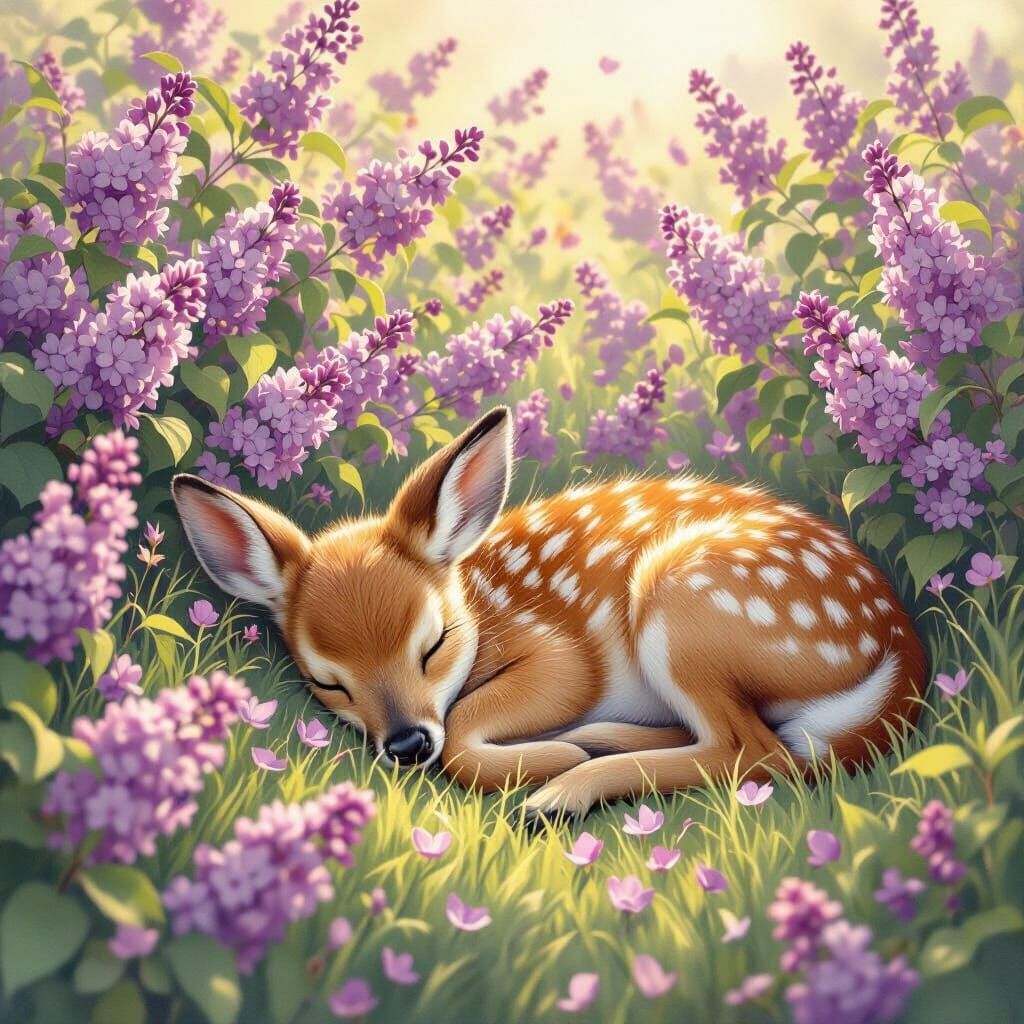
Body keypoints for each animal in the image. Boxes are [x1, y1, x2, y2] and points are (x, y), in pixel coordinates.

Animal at [172, 405, 927, 821]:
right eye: (326, 681)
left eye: (434, 642)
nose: (407, 744)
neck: (480, 602)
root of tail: (899, 645)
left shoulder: (562, 655)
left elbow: (474, 726)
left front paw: (545, 759)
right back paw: (598, 743)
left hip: (681, 602)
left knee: (759, 753)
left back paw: (564, 788)